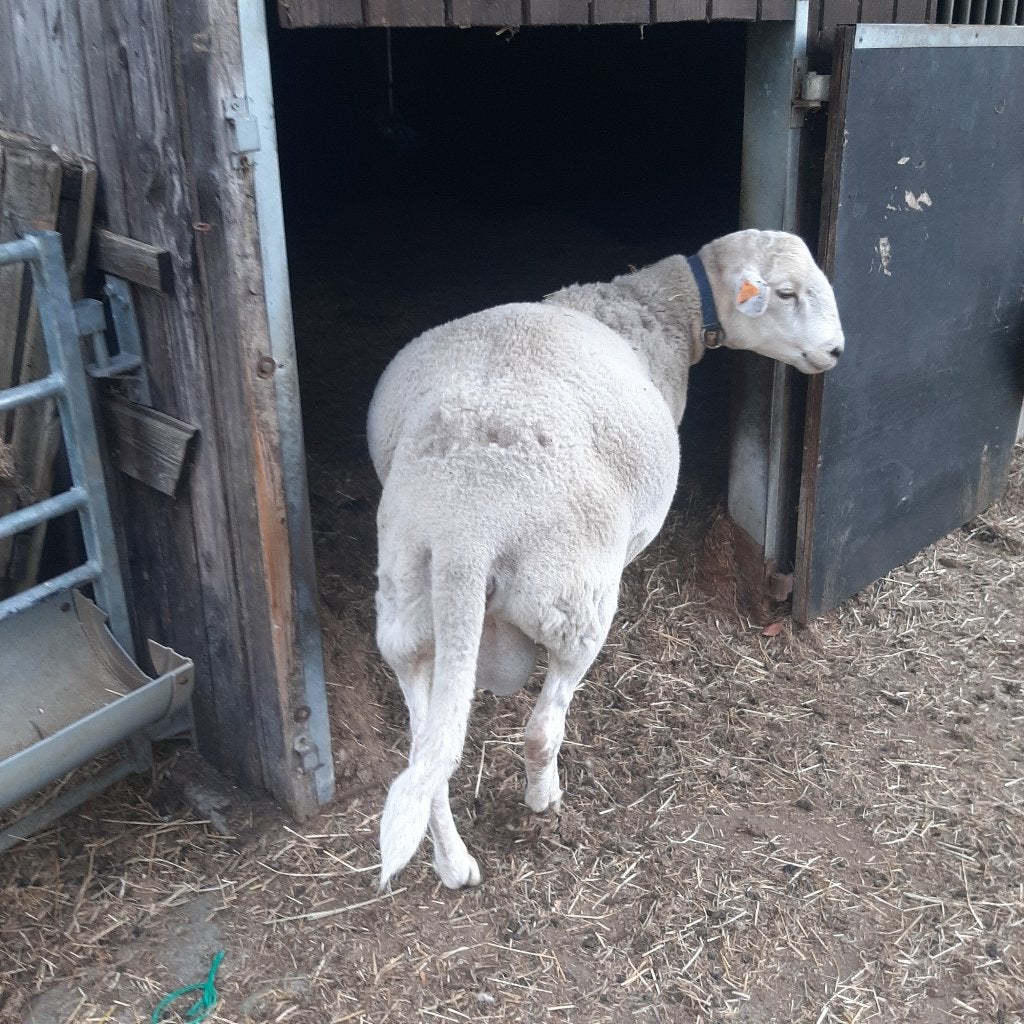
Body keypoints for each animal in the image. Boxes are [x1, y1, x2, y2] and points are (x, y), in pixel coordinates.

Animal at [367, 228, 845, 891]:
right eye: (787, 293)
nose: (836, 351)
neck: (652, 306)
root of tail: (468, 523)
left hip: (408, 607)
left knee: (423, 755)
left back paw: (453, 862)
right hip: (572, 600)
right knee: (542, 729)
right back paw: (543, 799)